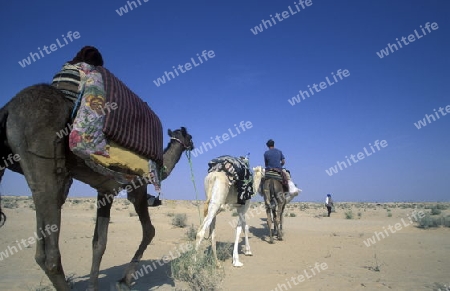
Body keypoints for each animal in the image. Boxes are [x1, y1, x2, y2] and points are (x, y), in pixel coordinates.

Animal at [0, 83, 193, 290]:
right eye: (189, 136)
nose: (193, 144)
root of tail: (9, 107)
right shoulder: (138, 187)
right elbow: (149, 231)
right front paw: (125, 280)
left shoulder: (105, 189)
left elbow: (99, 243)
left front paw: (93, 286)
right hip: (43, 160)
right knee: (50, 255)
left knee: (40, 250)